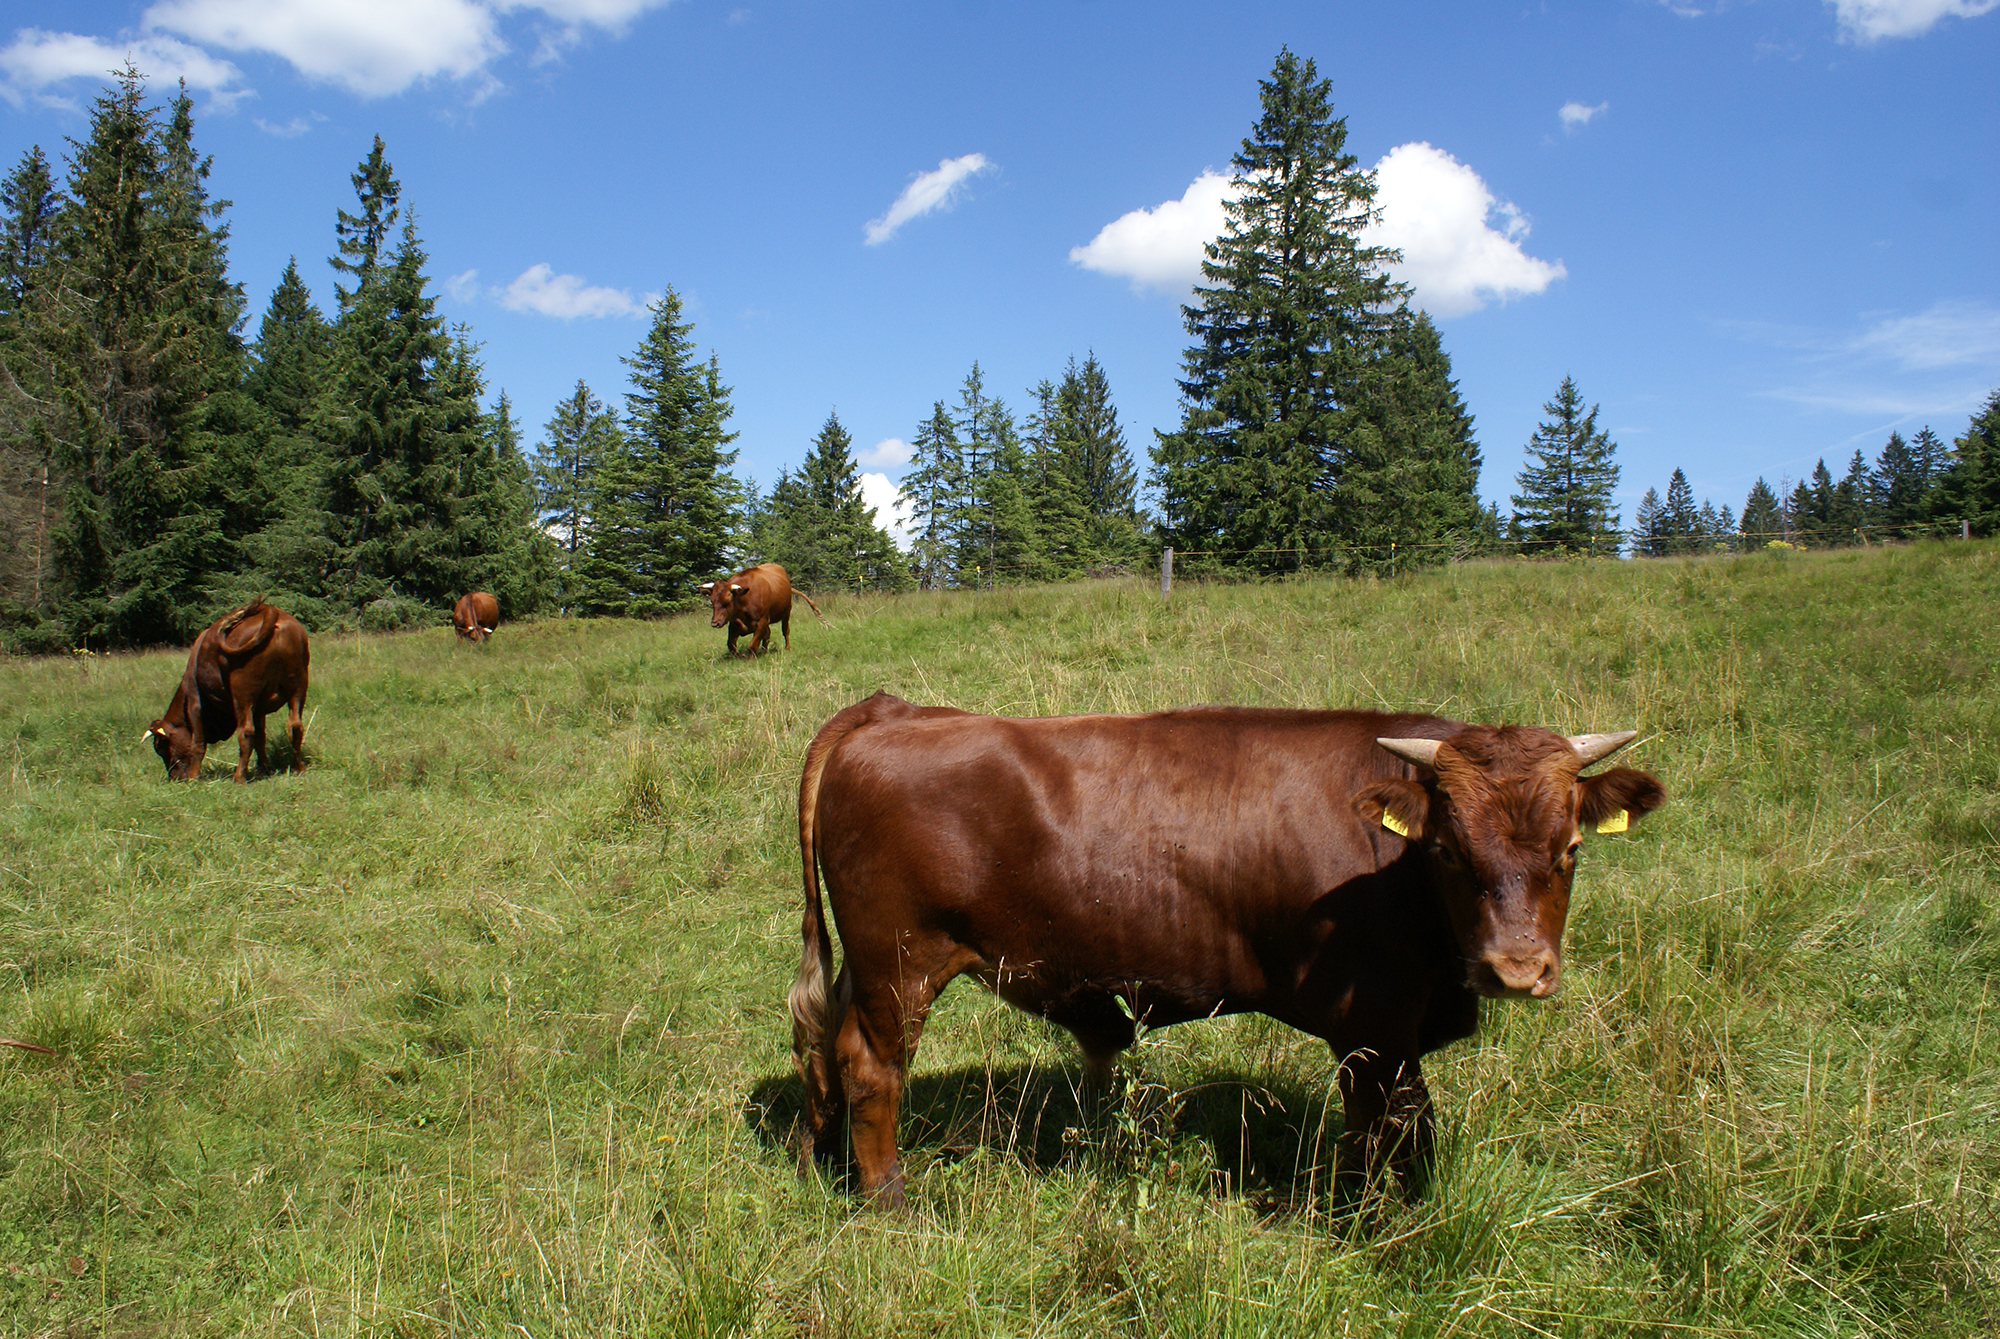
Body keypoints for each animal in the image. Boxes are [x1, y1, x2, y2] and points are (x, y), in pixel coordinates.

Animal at [146, 599, 310, 787]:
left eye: (160, 747)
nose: (174, 777)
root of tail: (270, 610)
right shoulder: (259, 708)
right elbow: (260, 737)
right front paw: (264, 768)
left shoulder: (194, 700)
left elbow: (198, 743)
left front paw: (194, 778)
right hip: (298, 686)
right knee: (295, 726)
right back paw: (298, 768)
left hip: (242, 693)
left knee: (246, 732)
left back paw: (239, 777)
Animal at [788, 699, 1664, 1215]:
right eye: (1449, 849)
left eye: (1572, 847)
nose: (1515, 968)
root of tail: (891, 710)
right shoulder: (1372, 1030)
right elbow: (1378, 1130)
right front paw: (1368, 1219)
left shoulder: (1401, 1034)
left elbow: (1416, 1124)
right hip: (899, 966)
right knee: (871, 1069)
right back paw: (890, 1201)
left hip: (864, 967)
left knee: (823, 1047)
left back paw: (822, 1157)